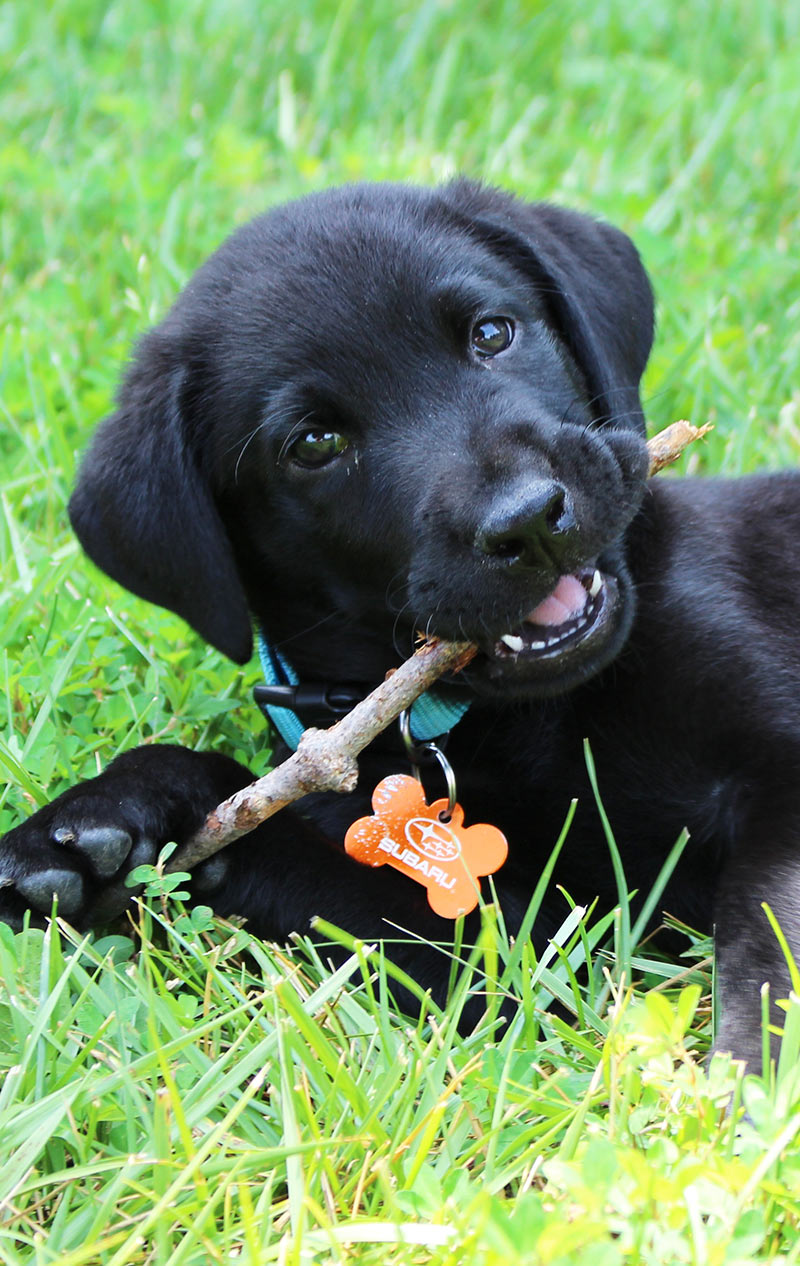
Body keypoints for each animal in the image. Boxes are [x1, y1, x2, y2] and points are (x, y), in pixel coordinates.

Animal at [3, 181, 794, 1068]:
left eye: (493, 334)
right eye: (315, 442)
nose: (527, 521)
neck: (525, 719)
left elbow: (768, 940)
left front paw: (753, 1077)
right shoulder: (531, 935)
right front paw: (100, 817)